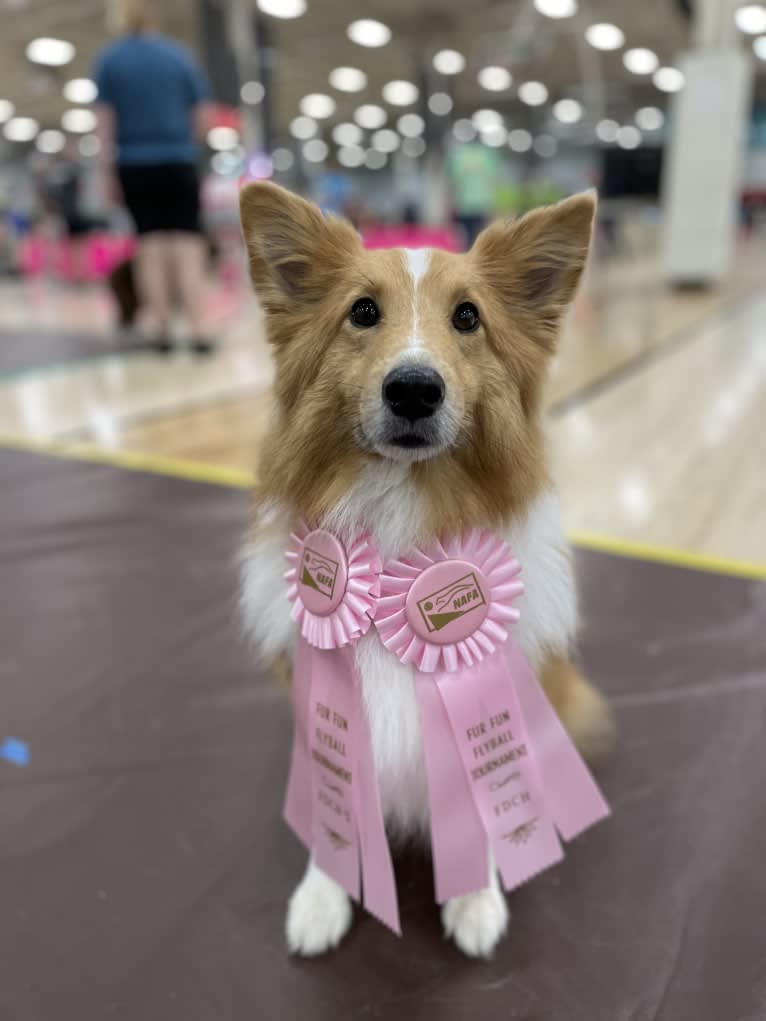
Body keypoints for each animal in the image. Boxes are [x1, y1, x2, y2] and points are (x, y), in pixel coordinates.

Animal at [236, 181, 616, 955]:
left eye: (468, 317)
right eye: (362, 311)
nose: (414, 388)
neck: (400, 534)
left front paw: (474, 896)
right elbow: (333, 808)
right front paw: (323, 893)